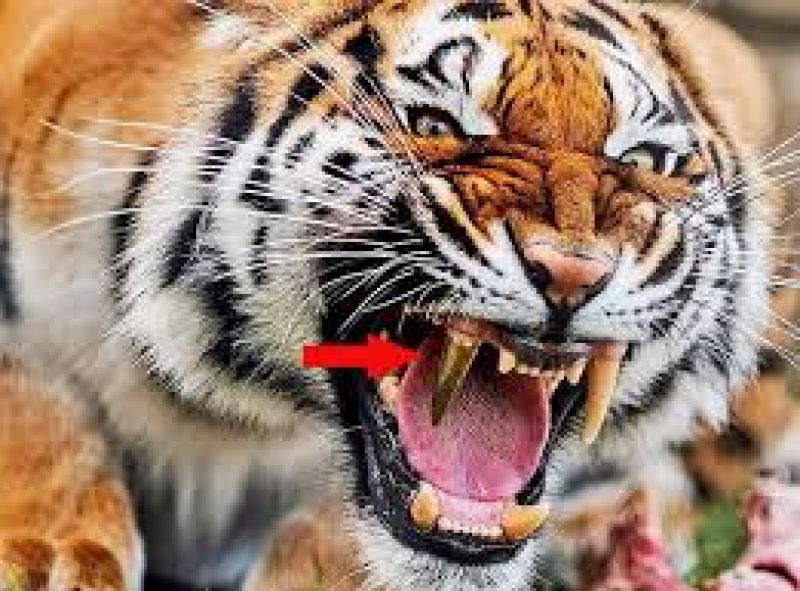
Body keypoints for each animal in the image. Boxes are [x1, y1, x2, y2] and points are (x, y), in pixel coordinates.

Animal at [0, 1, 785, 590]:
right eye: (435, 126)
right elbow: (41, 412)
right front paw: (55, 558)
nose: (573, 272)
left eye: (646, 162)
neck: (219, 423)